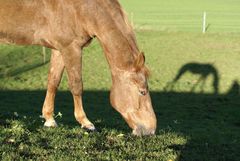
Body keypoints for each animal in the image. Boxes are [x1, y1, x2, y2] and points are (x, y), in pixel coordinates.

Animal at [0, 0, 157, 136]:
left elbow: (53, 82)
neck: (84, 9)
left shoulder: (59, 49)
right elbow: (76, 85)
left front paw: (49, 119)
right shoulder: (71, 48)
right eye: (142, 92)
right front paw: (86, 122)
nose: (151, 130)